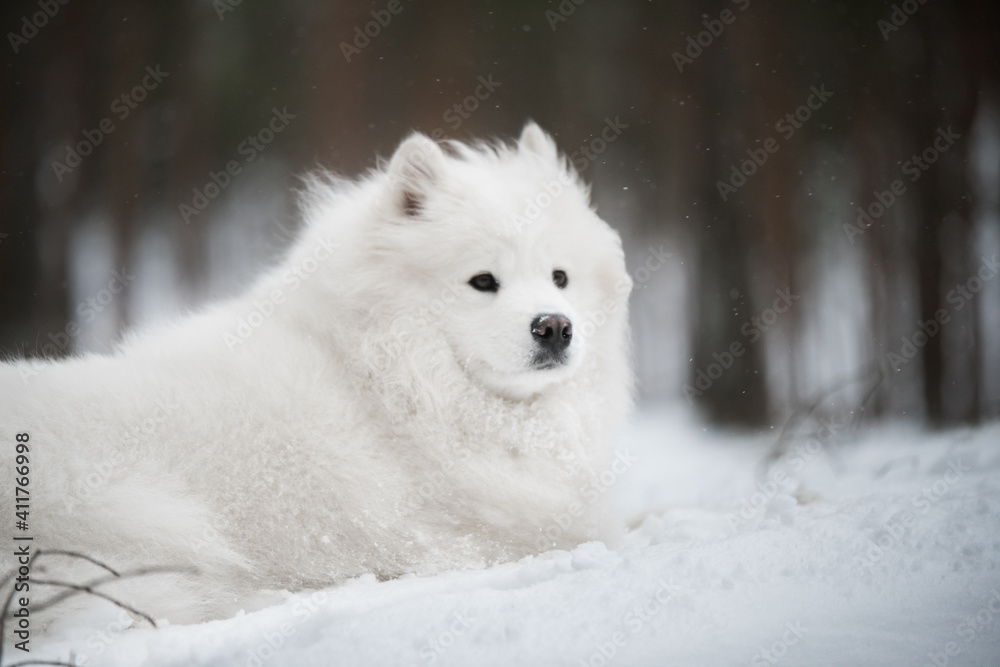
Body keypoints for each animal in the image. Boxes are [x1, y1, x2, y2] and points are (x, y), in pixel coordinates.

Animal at [0, 122, 632, 628]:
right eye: (483, 281)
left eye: (559, 277)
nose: (554, 326)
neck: (387, 379)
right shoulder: (497, 533)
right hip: (146, 514)